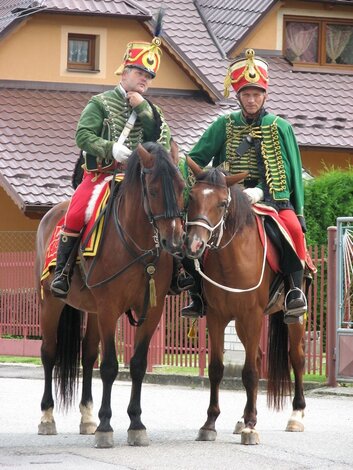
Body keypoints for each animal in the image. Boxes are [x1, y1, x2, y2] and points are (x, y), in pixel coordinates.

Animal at [34, 142, 186, 448]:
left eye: (181, 187)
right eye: (153, 190)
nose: (174, 242)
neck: (137, 244)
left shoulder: (151, 311)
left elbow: (137, 364)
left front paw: (136, 423)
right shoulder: (109, 308)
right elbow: (109, 367)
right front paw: (106, 426)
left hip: (91, 311)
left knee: (88, 355)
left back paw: (87, 417)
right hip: (51, 303)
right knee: (49, 353)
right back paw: (47, 416)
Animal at [184, 161, 306, 444]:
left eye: (221, 203)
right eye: (191, 197)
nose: (194, 245)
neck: (231, 257)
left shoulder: (251, 315)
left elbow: (249, 371)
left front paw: (251, 426)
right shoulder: (217, 317)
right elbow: (216, 368)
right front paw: (210, 423)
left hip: (291, 317)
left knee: (296, 357)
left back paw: (296, 415)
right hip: (239, 322)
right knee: (259, 356)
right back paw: (243, 417)